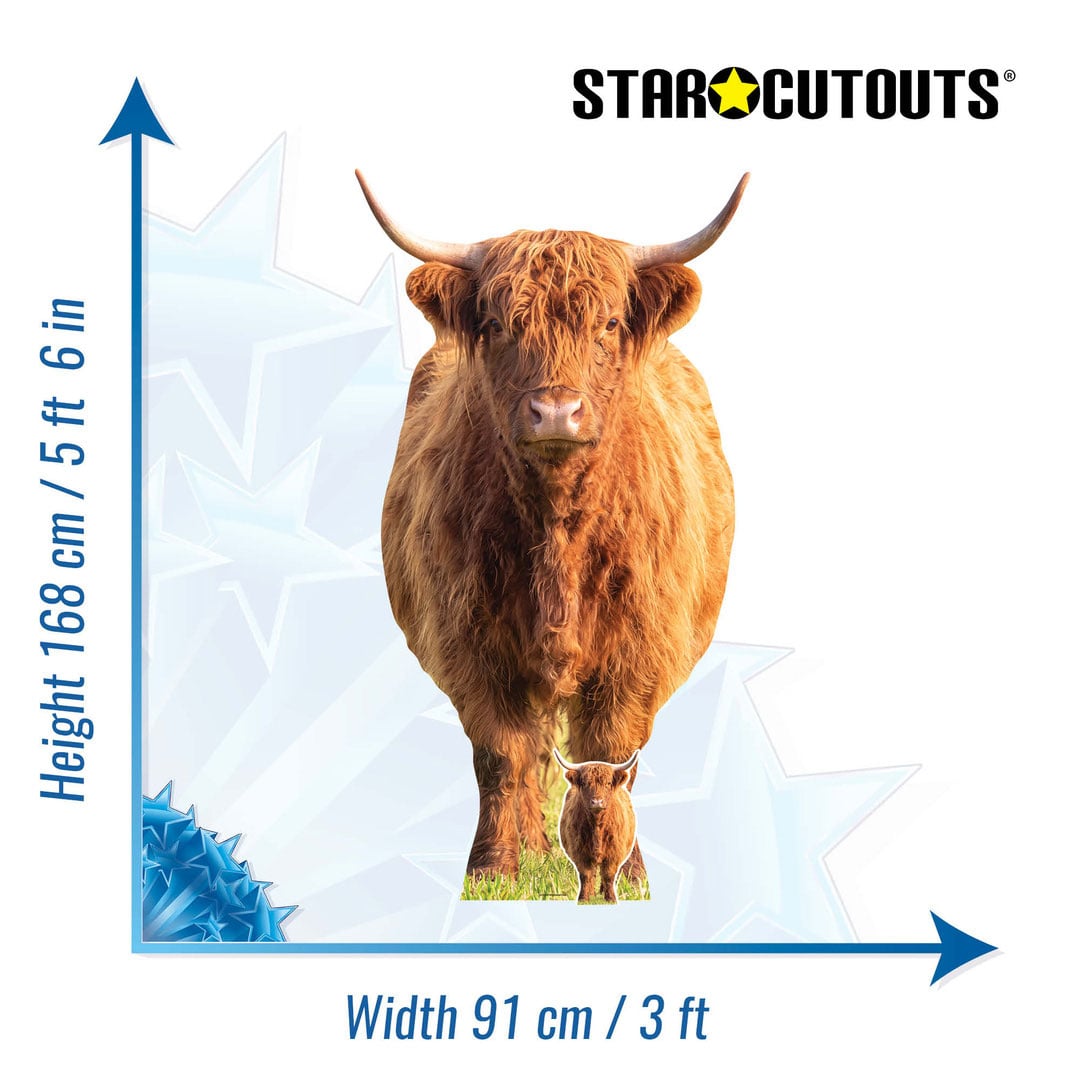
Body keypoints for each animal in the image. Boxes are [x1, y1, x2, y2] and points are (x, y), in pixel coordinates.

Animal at [356, 168, 747, 883]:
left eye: (610, 322)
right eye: (496, 323)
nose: (556, 411)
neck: (558, 526)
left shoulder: (639, 646)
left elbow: (612, 750)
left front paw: (633, 875)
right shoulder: (468, 639)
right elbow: (502, 755)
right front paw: (493, 869)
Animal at [554, 748, 639, 903]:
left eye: (607, 783)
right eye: (585, 783)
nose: (597, 802)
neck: (597, 825)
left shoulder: (614, 854)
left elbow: (608, 875)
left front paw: (611, 898)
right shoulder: (580, 853)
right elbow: (586, 875)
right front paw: (584, 898)